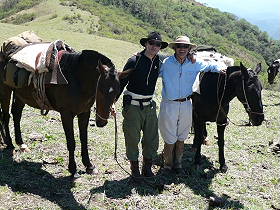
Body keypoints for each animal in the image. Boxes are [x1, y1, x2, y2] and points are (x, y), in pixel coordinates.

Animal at [0, 46, 122, 176]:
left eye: (117, 93)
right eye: (101, 90)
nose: (102, 122)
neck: (77, 78)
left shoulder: (84, 113)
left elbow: (84, 140)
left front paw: (89, 165)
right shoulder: (66, 114)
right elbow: (71, 142)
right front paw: (72, 168)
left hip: (21, 95)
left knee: (16, 114)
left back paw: (21, 143)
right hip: (6, 90)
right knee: (6, 116)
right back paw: (9, 142)